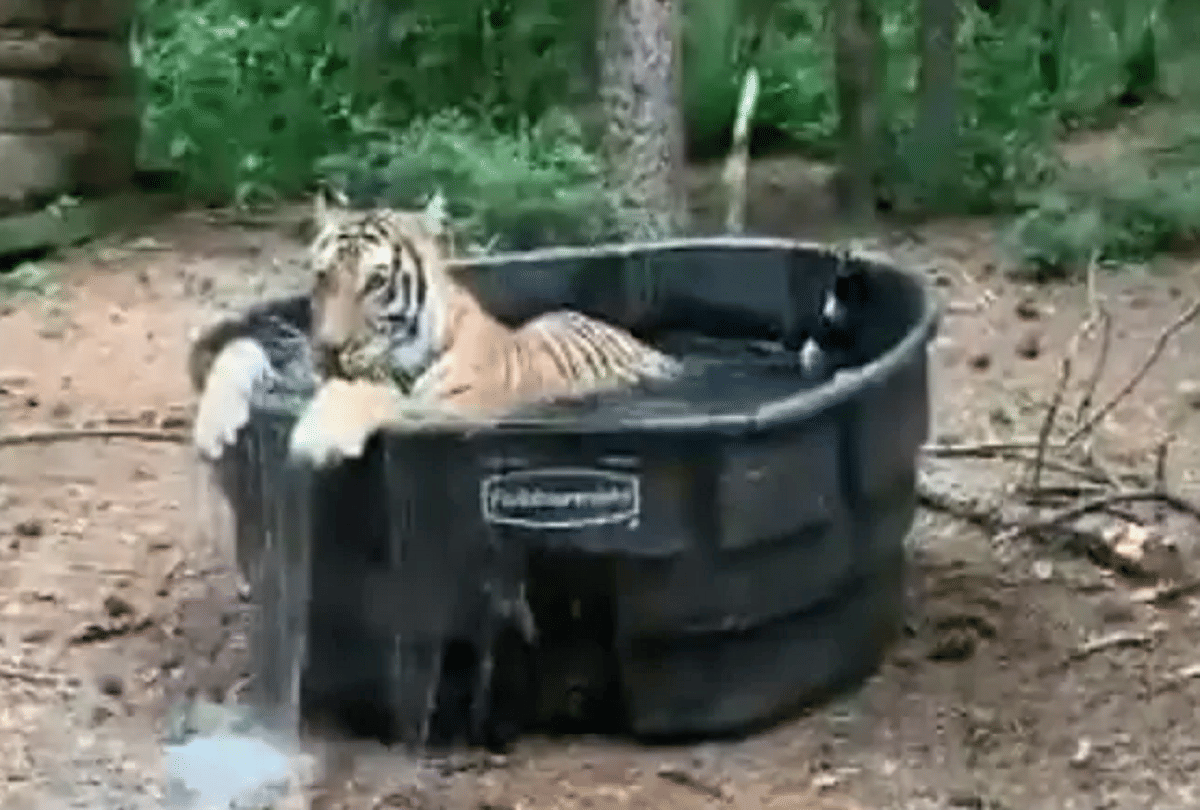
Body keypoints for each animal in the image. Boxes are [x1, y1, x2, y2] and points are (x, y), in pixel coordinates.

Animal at [284, 191, 685, 468]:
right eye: (322, 276)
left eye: (376, 282)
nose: (327, 350)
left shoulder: (455, 408)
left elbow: (375, 395)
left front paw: (317, 435)